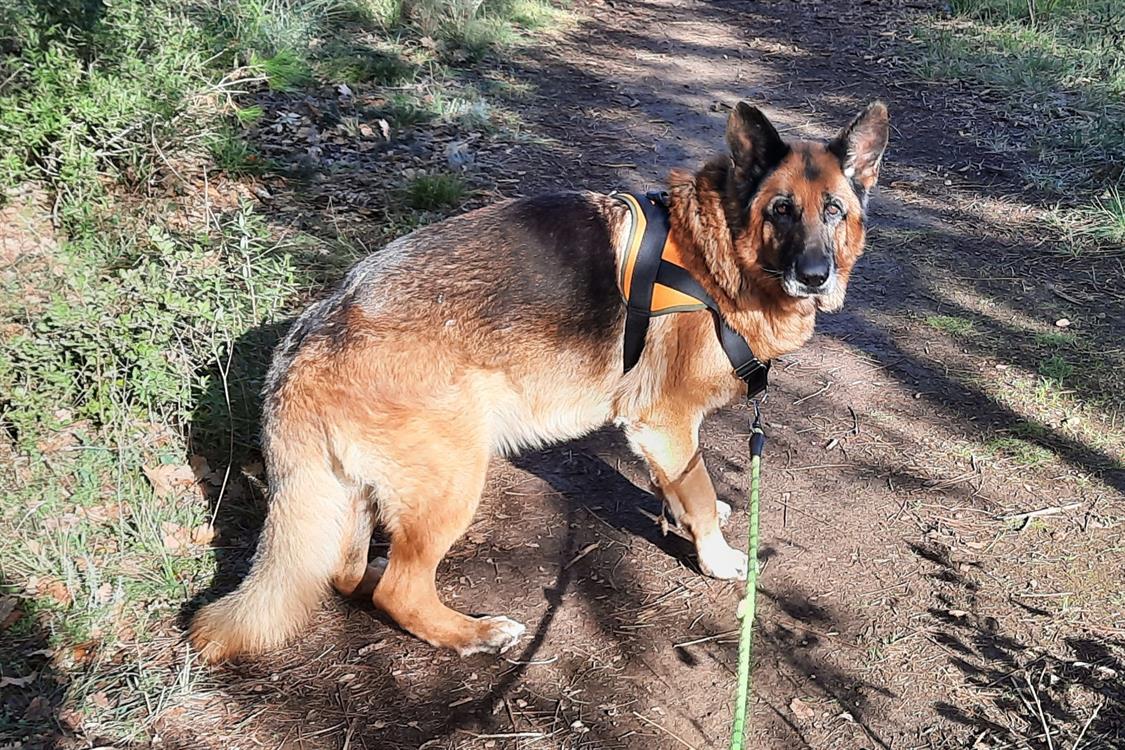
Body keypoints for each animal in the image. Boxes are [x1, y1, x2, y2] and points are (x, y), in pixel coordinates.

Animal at [189, 101, 889, 660]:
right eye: (781, 211)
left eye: (833, 211)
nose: (816, 275)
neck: (718, 255)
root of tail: (308, 340)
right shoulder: (664, 421)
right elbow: (695, 488)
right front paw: (715, 555)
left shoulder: (658, 434)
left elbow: (680, 485)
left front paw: (686, 517)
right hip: (454, 481)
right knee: (398, 590)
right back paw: (472, 634)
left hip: (363, 492)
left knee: (346, 573)